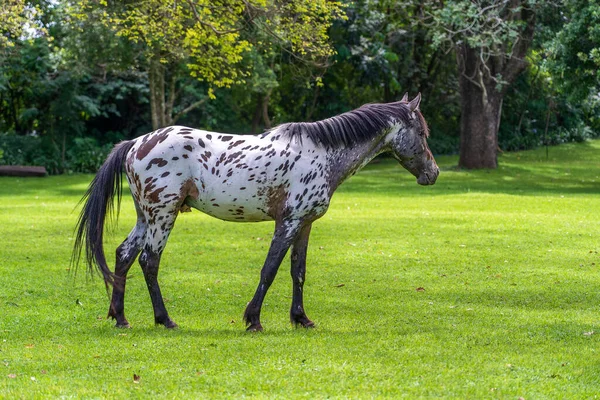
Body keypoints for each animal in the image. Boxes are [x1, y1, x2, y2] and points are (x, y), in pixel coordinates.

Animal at [75, 93, 440, 332]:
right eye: (422, 133)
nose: (433, 173)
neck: (322, 153)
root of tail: (135, 144)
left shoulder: (304, 225)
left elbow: (298, 272)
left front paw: (301, 319)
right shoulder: (288, 222)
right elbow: (270, 269)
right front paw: (253, 320)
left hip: (147, 217)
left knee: (124, 255)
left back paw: (120, 318)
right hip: (163, 216)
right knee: (149, 261)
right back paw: (165, 320)